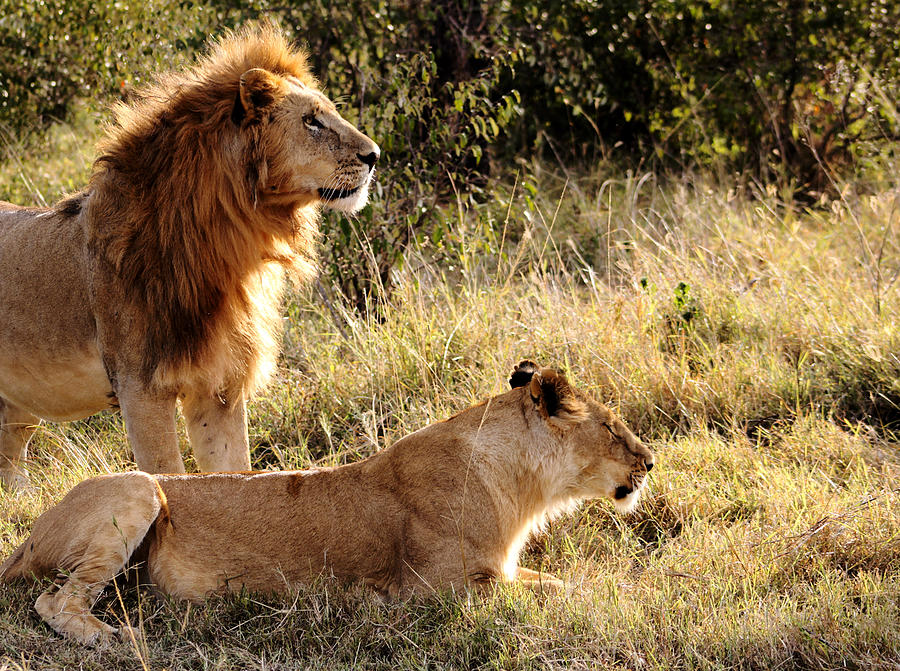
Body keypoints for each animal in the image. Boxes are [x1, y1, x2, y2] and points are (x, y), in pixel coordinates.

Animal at [0, 26, 376, 488]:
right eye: (312, 121)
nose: (375, 155)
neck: (228, 249)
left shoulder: (219, 387)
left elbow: (235, 473)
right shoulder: (140, 388)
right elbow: (167, 478)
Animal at [0, 362, 652, 644]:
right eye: (612, 428)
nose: (651, 462)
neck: (520, 484)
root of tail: (24, 539)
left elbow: (559, 583)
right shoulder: (438, 591)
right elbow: (556, 593)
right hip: (136, 488)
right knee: (52, 600)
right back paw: (111, 638)